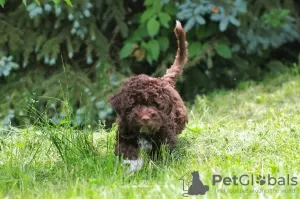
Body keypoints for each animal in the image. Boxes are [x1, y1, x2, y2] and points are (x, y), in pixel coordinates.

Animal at [108, 20, 188, 173]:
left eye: (154, 105)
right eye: (134, 105)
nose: (145, 118)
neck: (143, 132)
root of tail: (163, 80)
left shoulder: (164, 136)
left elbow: (159, 153)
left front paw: (155, 167)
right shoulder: (125, 133)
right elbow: (128, 151)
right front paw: (132, 167)